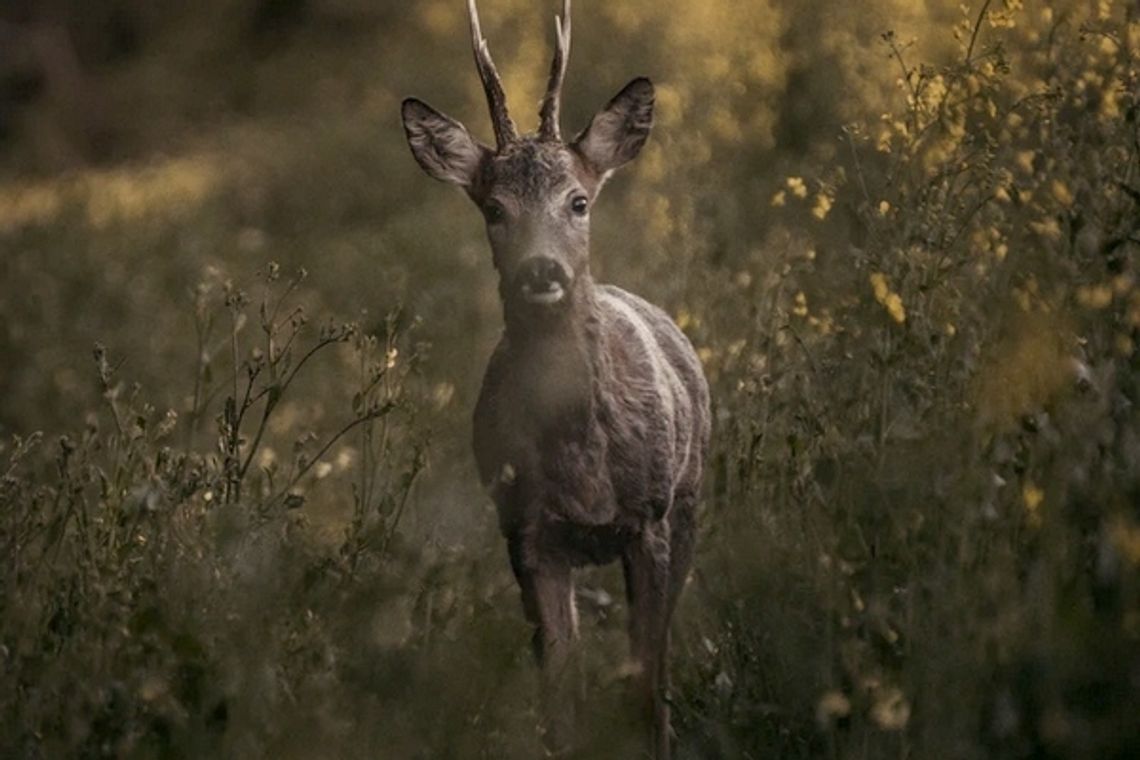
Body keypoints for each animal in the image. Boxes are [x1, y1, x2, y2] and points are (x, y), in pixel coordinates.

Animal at [399, 2, 702, 756]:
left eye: (578, 201)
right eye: (494, 208)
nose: (542, 270)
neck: (581, 466)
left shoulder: (648, 516)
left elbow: (644, 684)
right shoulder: (525, 530)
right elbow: (559, 701)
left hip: (689, 502)